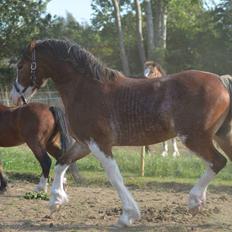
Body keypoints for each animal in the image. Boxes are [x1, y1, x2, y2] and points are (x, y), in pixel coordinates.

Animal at [10, 39, 232, 227]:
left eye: (20, 66)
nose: (14, 97)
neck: (86, 88)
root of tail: (221, 81)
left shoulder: (99, 144)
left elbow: (114, 177)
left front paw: (128, 216)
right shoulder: (84, 143)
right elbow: (61, 163)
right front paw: (56, 202)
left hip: (194, 137)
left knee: (218, 162)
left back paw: (195, 201)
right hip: (221, 136)